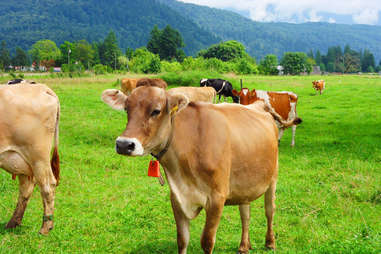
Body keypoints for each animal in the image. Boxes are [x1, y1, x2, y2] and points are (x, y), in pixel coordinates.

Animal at [0, 81, 59, 234]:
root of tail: (43, 88)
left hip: (38, 156)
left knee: (48, 185)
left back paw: (46, 227)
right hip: (22, 160)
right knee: (27, 187)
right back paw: (13, 223)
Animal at [102, 86, 278, 253]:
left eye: (156, 111)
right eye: (126, 109)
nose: (124, 144)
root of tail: (258, 105)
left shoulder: (217, 198)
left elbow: (207, 242)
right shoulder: (177, 197)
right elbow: (182, 239)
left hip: (273, 178)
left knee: (269, 211)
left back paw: (270, 242)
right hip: (244, 186)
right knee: (245, 214)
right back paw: (244, 246)